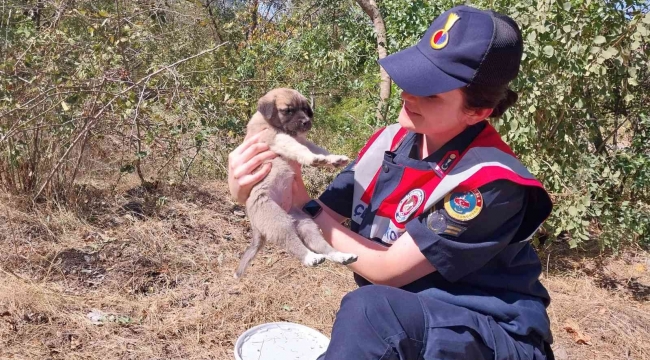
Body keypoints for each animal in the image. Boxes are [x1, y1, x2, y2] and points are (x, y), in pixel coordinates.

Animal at [232, 88, 356, 278]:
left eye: (305, 109)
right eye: (287, 110)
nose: (306, 122)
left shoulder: (302, 140)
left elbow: (318, 148)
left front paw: (333, 159)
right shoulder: (276, 138)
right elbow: (299, 148)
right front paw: (314, 159)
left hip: (306, 224)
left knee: (320, 245)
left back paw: (341, 256)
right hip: (278, 221)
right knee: (293, 244)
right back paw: (310, 258)